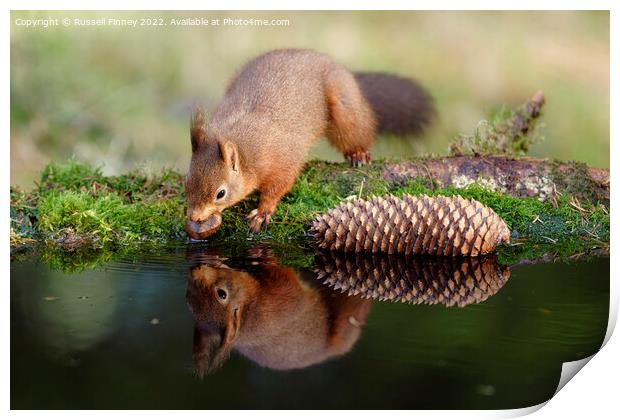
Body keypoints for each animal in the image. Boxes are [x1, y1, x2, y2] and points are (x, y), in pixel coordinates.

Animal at [186, 48, 434, 240]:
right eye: (187, 181)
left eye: (221, 193)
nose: (194, 216)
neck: (243, 143)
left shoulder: (283, 158)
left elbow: (279, 185)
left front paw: (263, 212)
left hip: (344, 108)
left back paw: (359, 154)